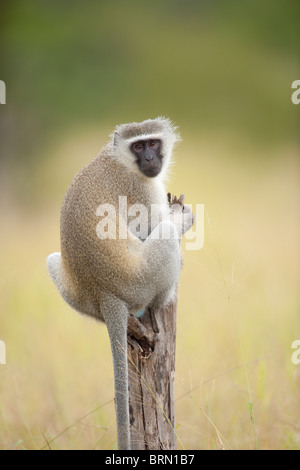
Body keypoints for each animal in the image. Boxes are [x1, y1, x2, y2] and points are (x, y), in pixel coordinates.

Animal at [45, 116, 193, 448]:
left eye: (152, 143)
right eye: (138, 147)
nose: (149, 159)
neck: (120, 160)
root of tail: (104, 294)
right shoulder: (141, 190)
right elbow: (153, 227)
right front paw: (182, 216)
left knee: (52, 260)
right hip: (141, 282)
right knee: (165, 237)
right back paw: (162, 303)